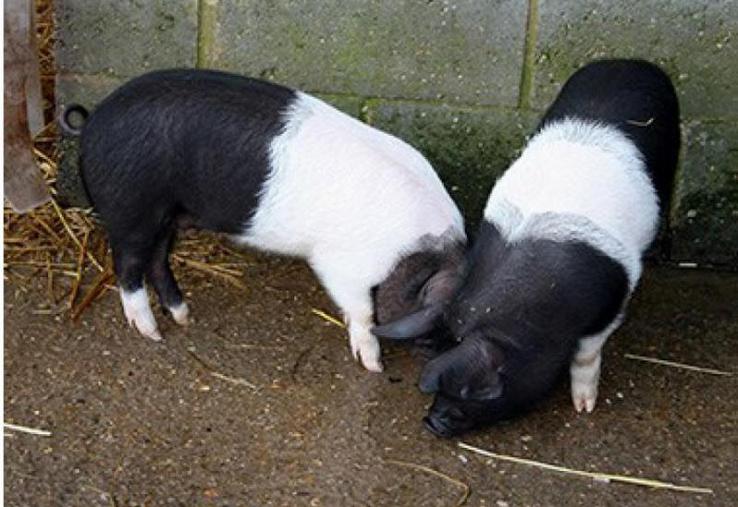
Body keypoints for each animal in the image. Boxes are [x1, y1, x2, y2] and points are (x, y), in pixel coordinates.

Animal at [59, 69, 465, 373]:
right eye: (435, 332)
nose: (431, 372)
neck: (416, 253)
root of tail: (92, 121)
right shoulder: (342, 267)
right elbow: (363, 313)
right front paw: (374, 366)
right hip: (131, 207)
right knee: (128, 265)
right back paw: (152, 333)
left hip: (167, 215)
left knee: (157, 260)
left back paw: (184, 317)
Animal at [373, 59, 680, 435]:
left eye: (476, 391)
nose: (432, 422)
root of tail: (632, 62)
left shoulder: (613, 299)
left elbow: (587, 354)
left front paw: (584, 407)